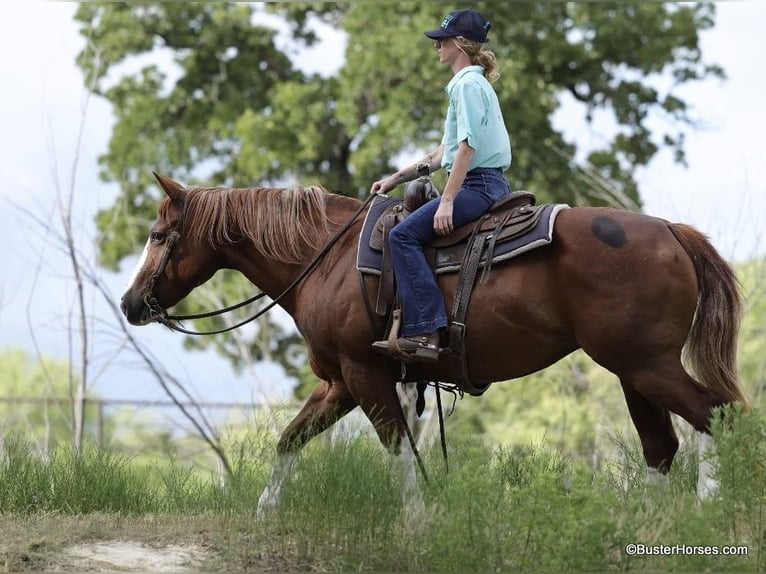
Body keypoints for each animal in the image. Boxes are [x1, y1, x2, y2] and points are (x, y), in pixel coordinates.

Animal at [121, 173, 748, 509]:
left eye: (159, 235)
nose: (130, 303)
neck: (326, 258)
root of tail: (670, 231)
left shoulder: (365, 376)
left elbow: (399, 451)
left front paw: (416, 519)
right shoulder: (338, 383)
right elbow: (288, 441)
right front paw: (264, 512)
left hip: (648, 366)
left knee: (715, 415)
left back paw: (707, 510)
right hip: (633, 371)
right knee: (661, 447)